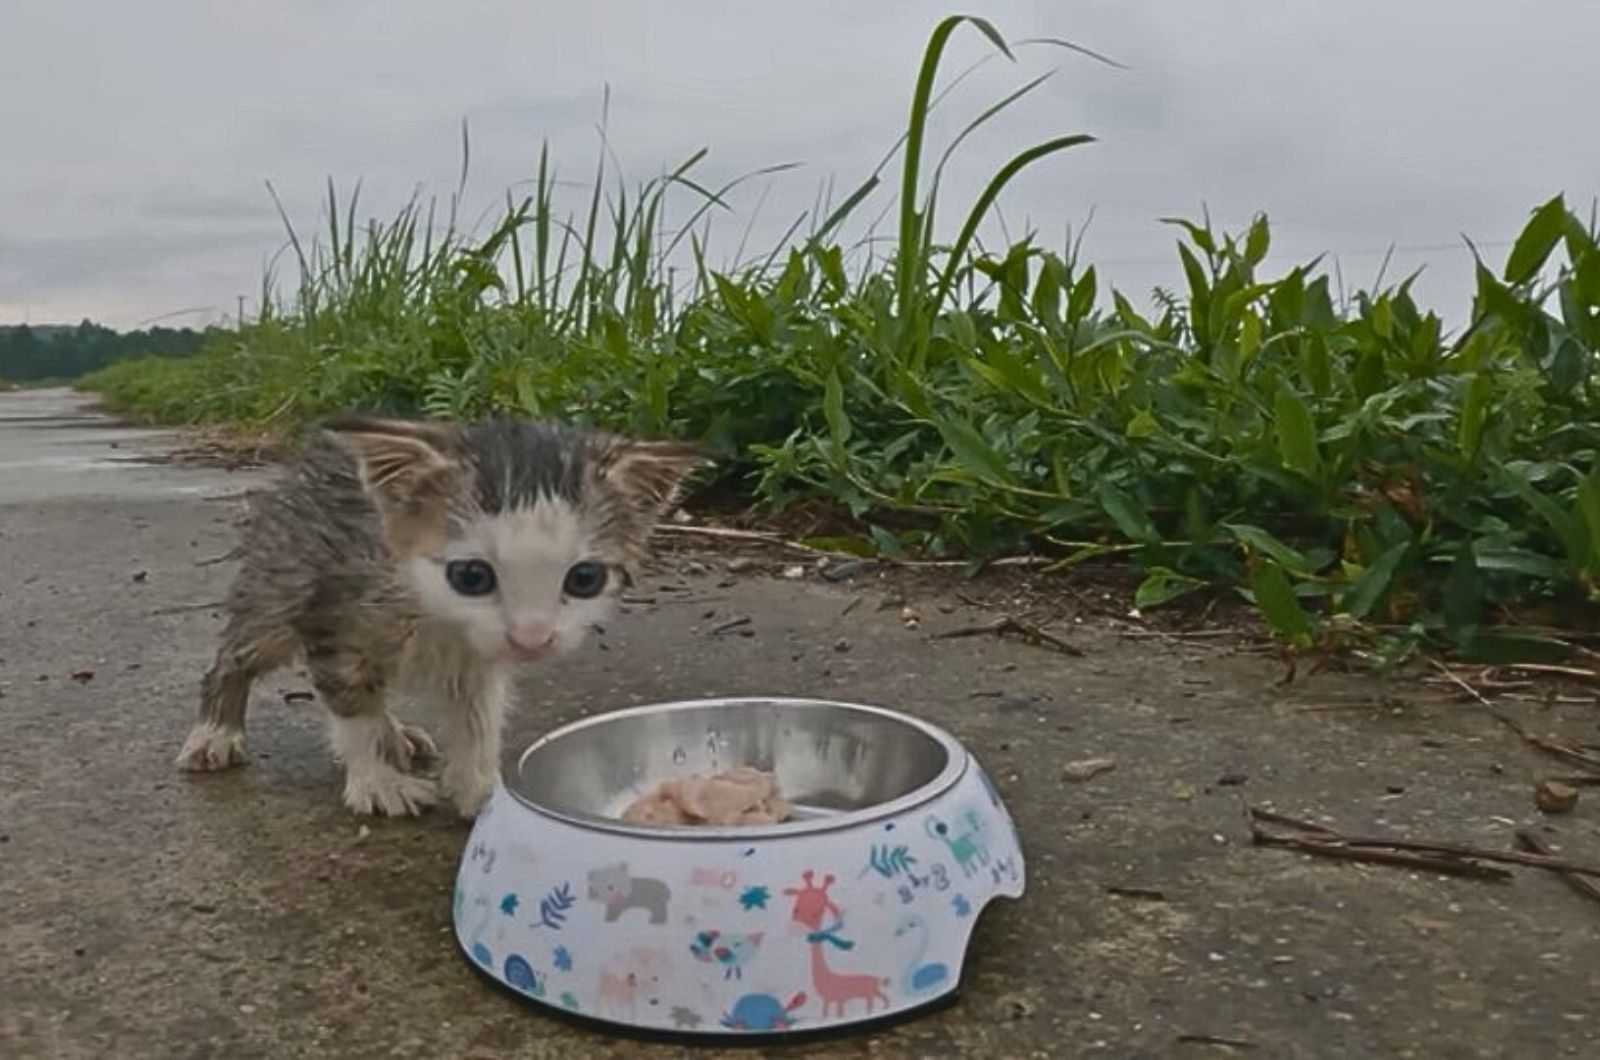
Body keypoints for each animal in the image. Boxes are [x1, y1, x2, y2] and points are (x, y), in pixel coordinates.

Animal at [175, 416, 707, 819]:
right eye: (471, 576)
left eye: (584, 579)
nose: (532, 638)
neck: (435, 613)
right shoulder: (336, 614)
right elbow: (351, 705)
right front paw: (378, 780)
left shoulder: (481, 657)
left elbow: (478, 712)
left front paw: (478, 784)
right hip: (283, 581)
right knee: (237, 654)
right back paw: (216, 732)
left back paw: (396, 733)